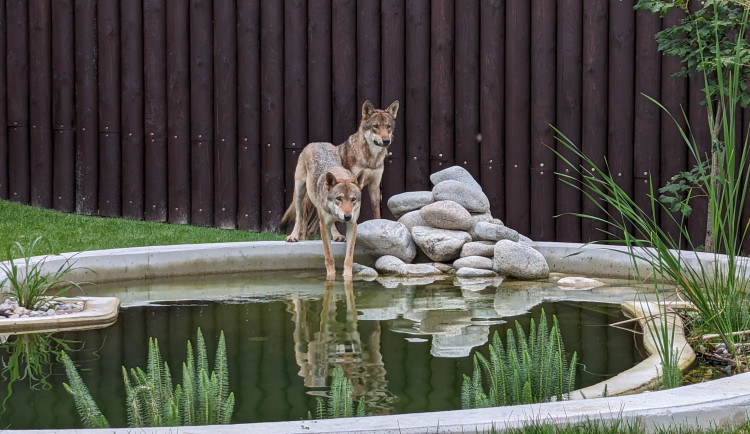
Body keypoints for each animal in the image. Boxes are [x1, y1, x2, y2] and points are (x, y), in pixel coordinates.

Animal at [284, 142, 366, 278]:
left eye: (353, 199)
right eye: (339, 198)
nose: (347, 216)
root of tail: (317, 143)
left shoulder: (352, 225)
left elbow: (349, 258)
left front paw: (347, 277)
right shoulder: (323, 226)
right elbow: (329, 256)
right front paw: (331, 276)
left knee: (312, 228)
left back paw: (337, 236)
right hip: (299, 193)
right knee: (299, 219)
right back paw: (294, 236)